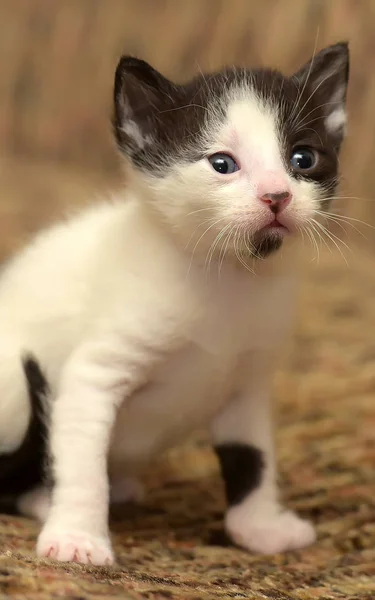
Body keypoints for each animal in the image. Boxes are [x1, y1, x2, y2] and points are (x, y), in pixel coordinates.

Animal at [0, 42, 350, 564]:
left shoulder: (246, 385)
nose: (277, 195)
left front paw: (259, 527)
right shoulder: (92, 375)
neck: (228, 277)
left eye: (303, 158)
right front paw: (78, 537)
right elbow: (82, 463)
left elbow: (254, 458)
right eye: (222, 164)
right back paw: (46, 500)